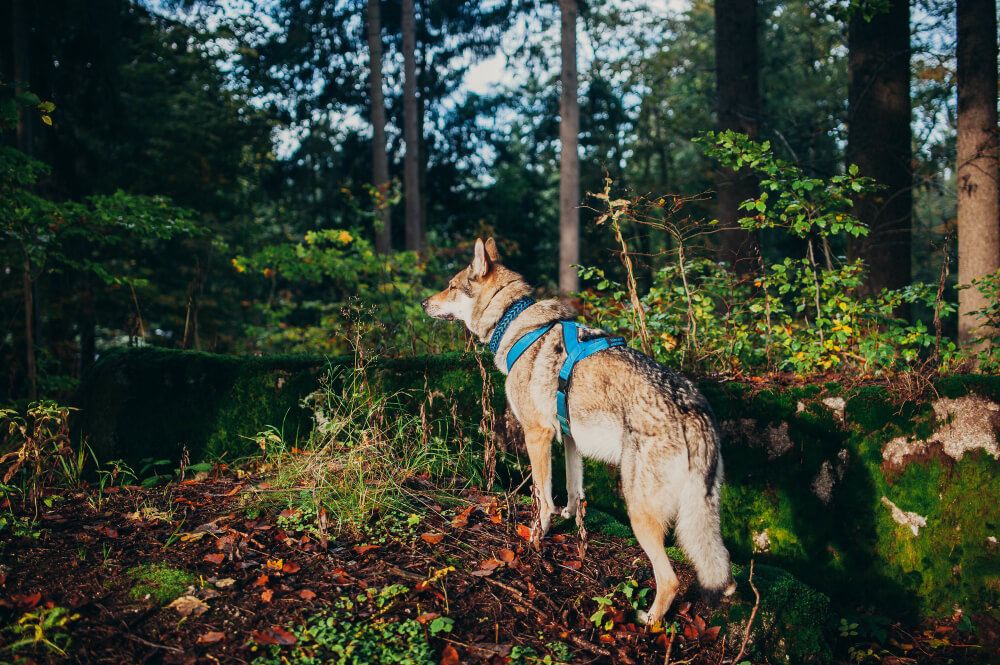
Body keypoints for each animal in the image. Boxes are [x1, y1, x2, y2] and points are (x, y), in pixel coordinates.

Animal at [420, 239, 736, 624]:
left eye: (450, 286)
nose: (424, 303)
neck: (515, 321)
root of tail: (694, 410)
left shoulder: (537, 434)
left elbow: (542, 495)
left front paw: (537, 536)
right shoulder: (569, 437)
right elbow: (572, 486)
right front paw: (569, 516)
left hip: (639, 512)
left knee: (671, 579)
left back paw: (649, 620)